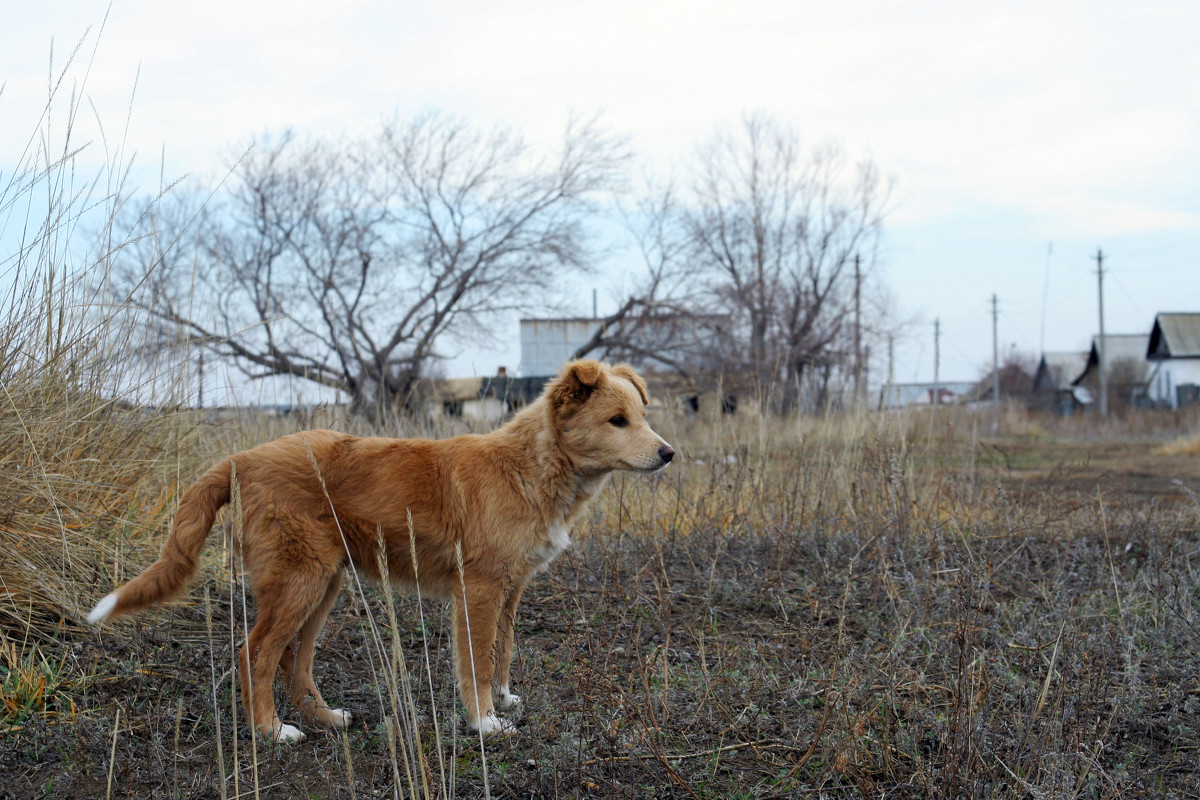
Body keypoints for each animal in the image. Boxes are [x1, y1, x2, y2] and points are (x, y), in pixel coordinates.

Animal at [88, 359, 676, 743]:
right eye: (617, 421)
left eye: (643, 416)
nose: (670, 453)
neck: (529, 467)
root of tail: (241, 459)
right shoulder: (479, 591)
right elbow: (476, 661)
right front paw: (485, 721)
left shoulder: (512, 589)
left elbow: (503, 651)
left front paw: (505, 700)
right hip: (299, 582)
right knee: (255, 654)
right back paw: (271, 730)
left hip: (324, 585)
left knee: (294, 663)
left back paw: (324, 721)